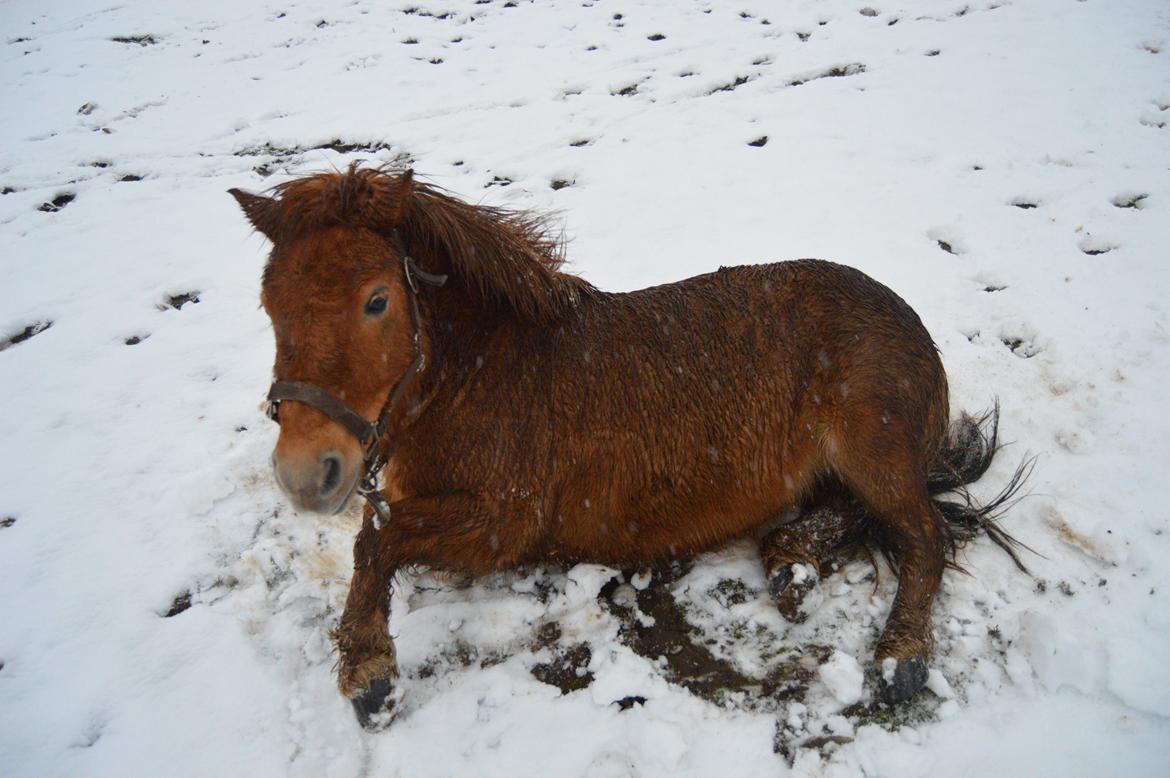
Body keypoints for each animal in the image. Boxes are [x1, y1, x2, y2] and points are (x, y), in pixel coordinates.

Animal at [228, 163, 1024, 730]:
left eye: (377, 300)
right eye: (268, 303)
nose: (305, 475)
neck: (482, 372)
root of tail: (905, 316)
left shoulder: (501, 524)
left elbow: (376, 544)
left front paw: (369, 673)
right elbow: (374, 530)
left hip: (872, 449)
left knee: (923, 535)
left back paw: (899, 658)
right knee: (850, 516)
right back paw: (790, 560)